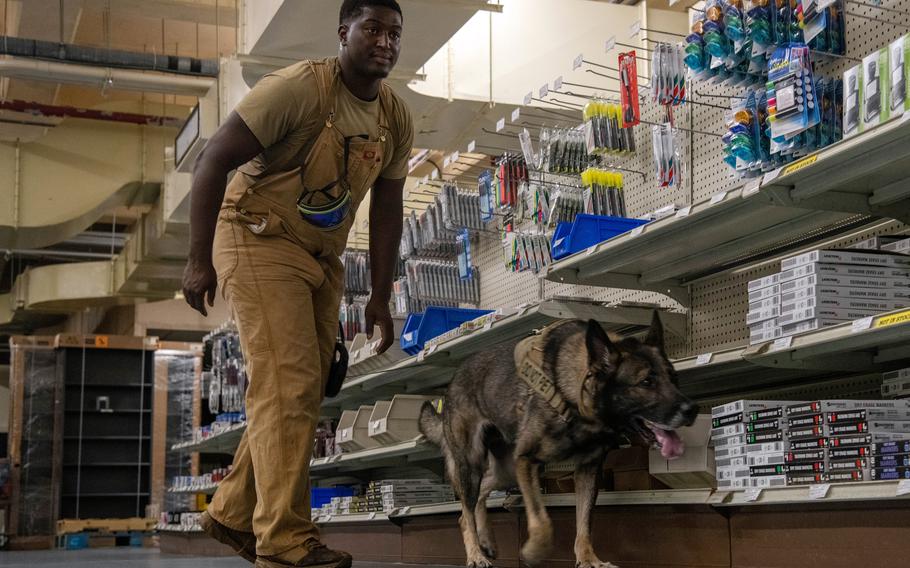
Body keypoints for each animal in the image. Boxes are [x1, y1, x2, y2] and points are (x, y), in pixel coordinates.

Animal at [420, 316, 700, 568]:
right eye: (646, 382)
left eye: (674, 378)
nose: (692, 410)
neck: (577, 396)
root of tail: (453, 381)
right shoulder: (527, 460)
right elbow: (541, 520)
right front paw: (534, 551)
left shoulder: (587, 471)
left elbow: (585, 523)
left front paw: (588, 559)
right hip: (473, 463)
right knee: (466, 511)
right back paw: (475, 554)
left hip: (506, 471)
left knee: (477, 498)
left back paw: (486, 541)